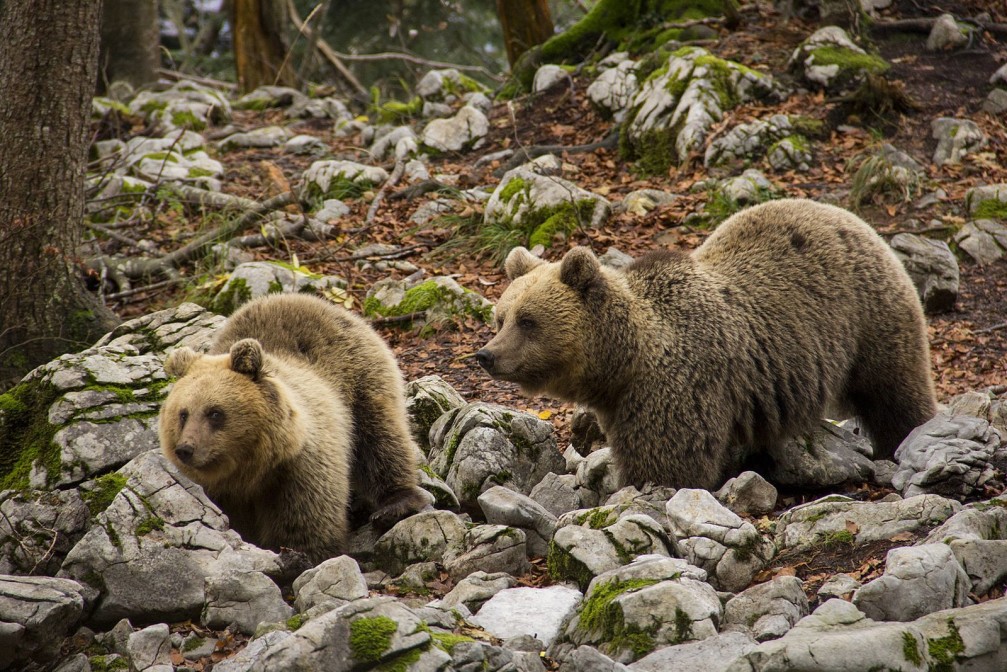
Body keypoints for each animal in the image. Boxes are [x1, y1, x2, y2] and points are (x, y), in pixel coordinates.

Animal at [157, 294, 428, 564]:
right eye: (183, 414)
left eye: (214, 412)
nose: (186, 449)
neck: (249, 471)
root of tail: (306, 298)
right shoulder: (219, 492)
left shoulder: (299, 471)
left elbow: (306, 523)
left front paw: (302, 556)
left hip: (360, 379)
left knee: (380, 438)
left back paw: (395, 504)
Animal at [475, 198, 938, 489]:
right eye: (499, 317)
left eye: (528, 321)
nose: (487, 355)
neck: (624, 364)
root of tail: (852, 218)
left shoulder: (674, 389)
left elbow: (667, 464)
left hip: (868, 318)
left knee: (893, 392)